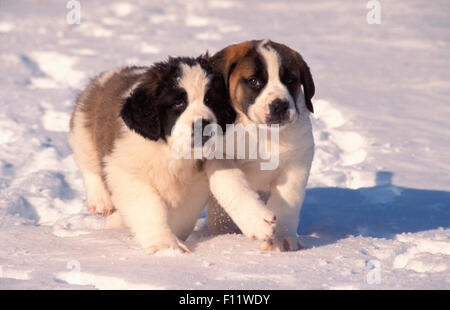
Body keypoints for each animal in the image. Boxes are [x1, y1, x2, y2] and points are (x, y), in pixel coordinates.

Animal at [68, 56, 236, 254]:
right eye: (178, 104)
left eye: (210, 101)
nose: (203, 124)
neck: (169, 152)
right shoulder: (128, 172)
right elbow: (149, 208)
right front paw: (164, 246)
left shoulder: (195, 185)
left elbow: (183, 216)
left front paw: (175, 241)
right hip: (82, 127)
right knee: (89, 166)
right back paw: (100, 201)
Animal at [207, 39, 316, 252]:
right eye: (254, 81)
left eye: (290, 80)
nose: (280, 105)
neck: (262, 133)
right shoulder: (217, 155)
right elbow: (233, 184)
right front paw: (258, 222)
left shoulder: (298, 158)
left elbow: (289, 197)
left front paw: (282, 237)